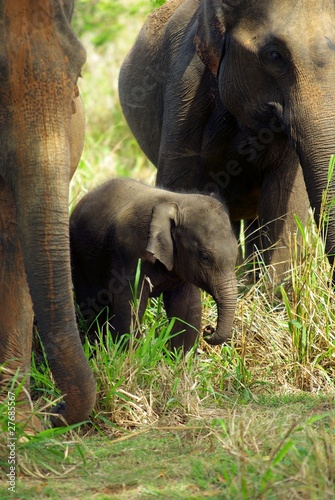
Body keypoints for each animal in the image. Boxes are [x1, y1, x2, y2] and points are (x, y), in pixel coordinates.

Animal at [70, 178, 239, 354]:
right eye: (205, 257)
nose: (208, 330)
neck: (176, 202)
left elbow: (187, 307)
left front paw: (181, 360)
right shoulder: (129, 252)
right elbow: (129, 305)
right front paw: (129, 356)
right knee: (92, 302)